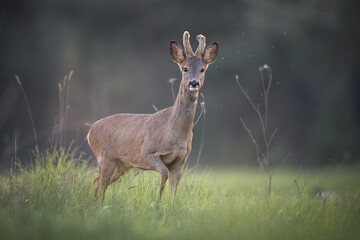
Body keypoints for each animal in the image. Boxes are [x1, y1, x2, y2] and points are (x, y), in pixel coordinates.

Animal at [88, 31, 218, 200]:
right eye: (185, 68)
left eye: (202, 69)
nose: (194, 83)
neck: (173, 131)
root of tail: (90, 130)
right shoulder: (146, 152)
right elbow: (164, 173)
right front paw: (157, 201)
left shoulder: (181, 161)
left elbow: (174, 189)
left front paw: (168, 203)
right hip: (105, 157)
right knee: (100, 181)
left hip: (121, 164)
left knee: (98, 181)